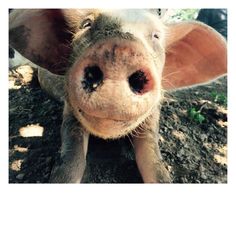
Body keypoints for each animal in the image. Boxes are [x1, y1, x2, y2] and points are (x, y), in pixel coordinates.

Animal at [9, 9, 227, 183]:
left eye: (156, 36)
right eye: (86, 24)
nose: (121, 50)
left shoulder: (152, 119)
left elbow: (155, 162)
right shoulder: (69, 110)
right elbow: (72, 160)